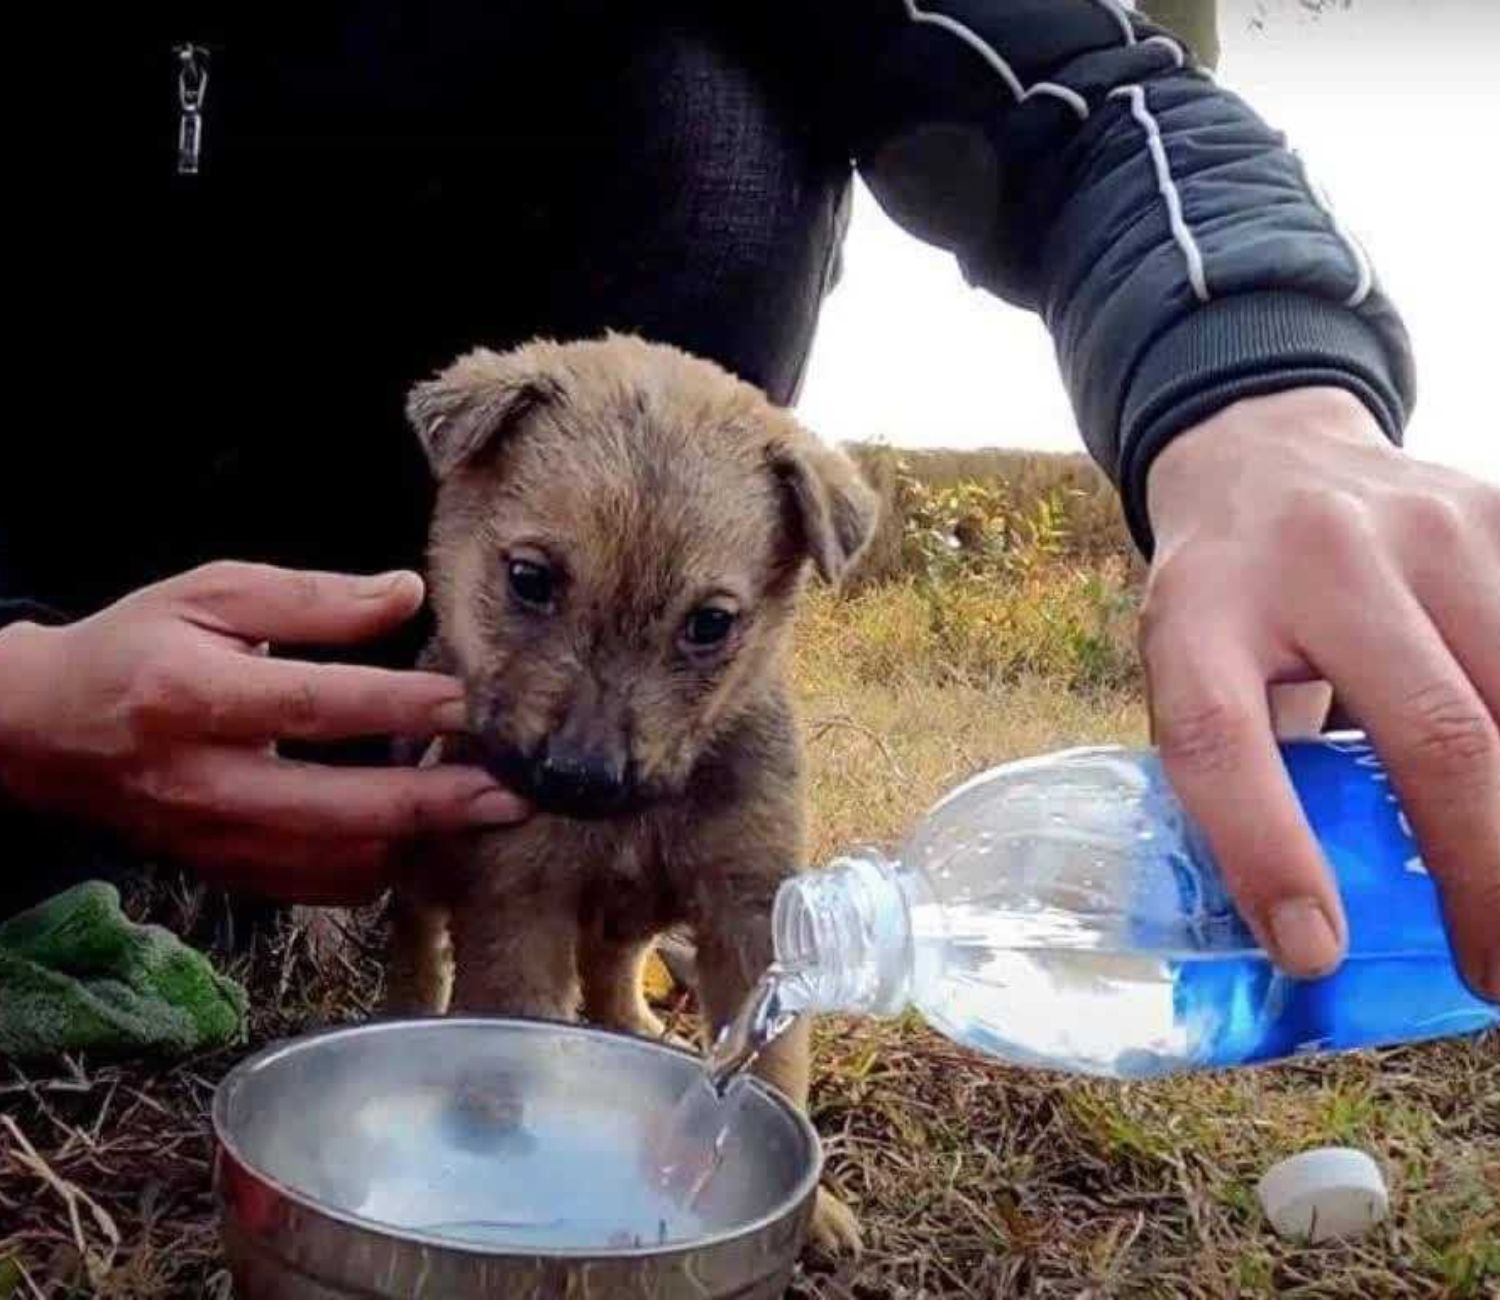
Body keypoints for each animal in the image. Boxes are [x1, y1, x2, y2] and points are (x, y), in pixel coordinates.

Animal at [387, 332, 876, 1253]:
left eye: (711, 624)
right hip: (421, 863)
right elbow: (515, 1024)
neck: (641, 814)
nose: (582, 781)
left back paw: (634, 1025)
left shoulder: (749, 908)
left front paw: (815, 1207)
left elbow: (777, 1061)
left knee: (614, 968)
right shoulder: (519, 898)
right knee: (417, 943)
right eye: (530, 578)